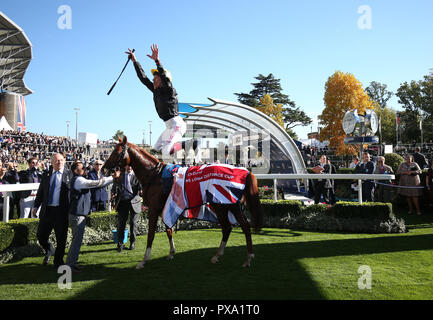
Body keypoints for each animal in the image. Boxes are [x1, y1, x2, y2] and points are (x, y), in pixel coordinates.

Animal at [103, 135, 262, 268]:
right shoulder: (164, 208)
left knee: (238, 227)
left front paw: (143, 260)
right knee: (234, 227)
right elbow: (169, 230)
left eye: (116, 152)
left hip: (226, 205)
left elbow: (151, 235)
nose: (104, 169)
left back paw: (246, 258)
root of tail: (245, 172)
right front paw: (171, 252)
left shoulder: (153, 209)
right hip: (225, 206)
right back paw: (222, 256)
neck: (154, 175)